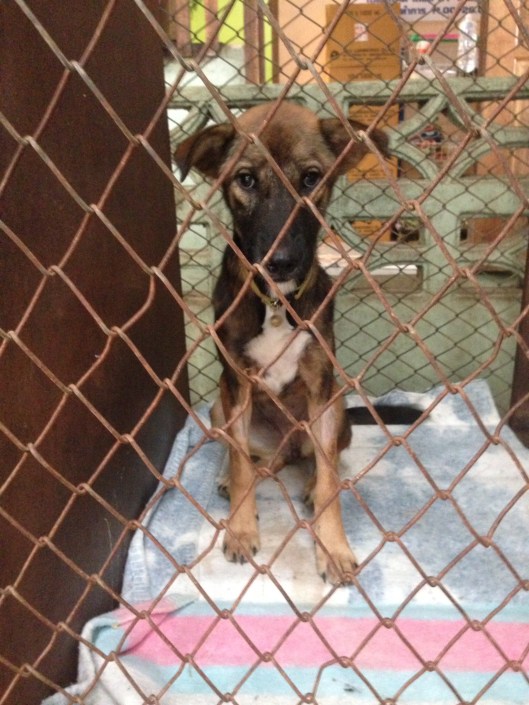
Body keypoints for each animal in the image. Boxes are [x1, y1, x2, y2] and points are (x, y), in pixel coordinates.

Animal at [175, 101, 387, 584]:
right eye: (246, 179)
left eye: (310, 178)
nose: (283, 262)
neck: (275, 301)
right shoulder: (236, 382)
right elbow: (239, 463)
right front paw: (239, 527)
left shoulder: (321, 384)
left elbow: (329, 480)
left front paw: (333, 547)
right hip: (221, 407)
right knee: (254, 457)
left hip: (335, 406)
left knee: (323, 458)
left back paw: (306, 483)